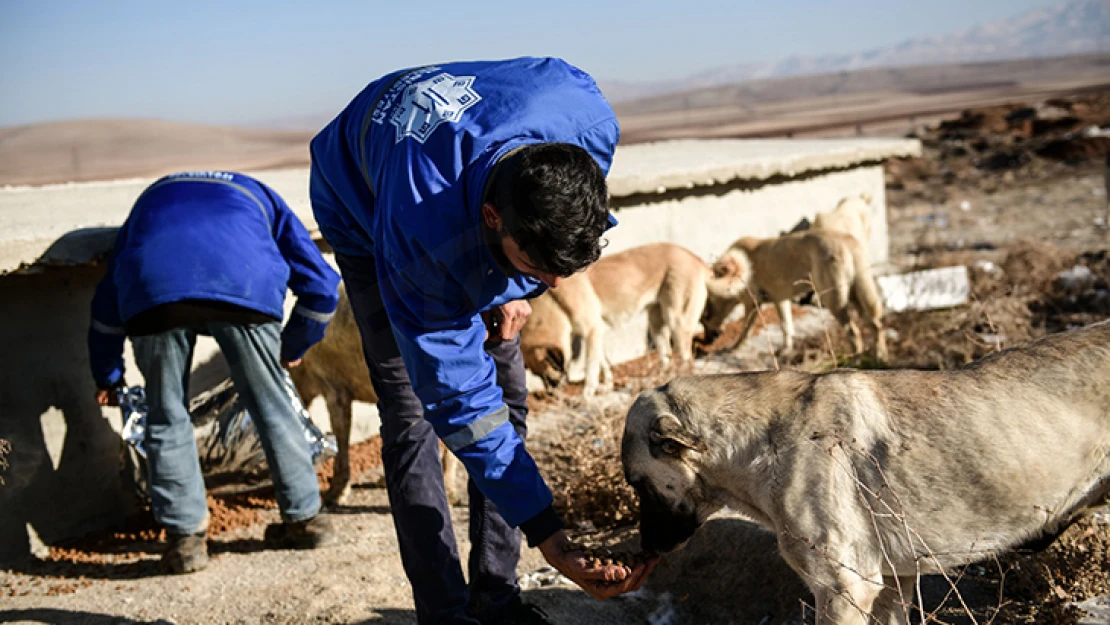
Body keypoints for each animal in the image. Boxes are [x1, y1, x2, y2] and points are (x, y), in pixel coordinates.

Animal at [521, 243, 745, 395]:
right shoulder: (597, 333)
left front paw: (587, 396)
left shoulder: (592, 331)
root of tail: (696, 259)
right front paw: (607, 385)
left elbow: (591, 368)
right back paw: (661, 379)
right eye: (537, 376)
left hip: (677, 321)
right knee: (665, 353)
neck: (554, 303)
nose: (551, 395)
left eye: (547, 374)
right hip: (656, 323)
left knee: (685, 358)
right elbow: (604, 363)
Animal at [705, 230, 888, 359]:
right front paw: (786, 350)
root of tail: (847, 240)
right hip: (859, 297)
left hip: (833, 300)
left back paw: (855, 360)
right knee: (876, 324)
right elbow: (787, 326)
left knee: (854, 332)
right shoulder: (781, 300)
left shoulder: (752, 304)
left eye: (703, 318)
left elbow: (744, 330)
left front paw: (734, 348)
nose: (708, 341)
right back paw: (881, 356)